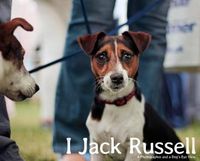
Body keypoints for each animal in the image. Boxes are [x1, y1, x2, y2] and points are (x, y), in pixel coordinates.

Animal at [78, 31, 189, 161]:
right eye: (101, 56)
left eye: (127, 56)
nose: (117, 78)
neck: (115, 102)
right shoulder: (96, 145)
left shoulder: (134, 147)